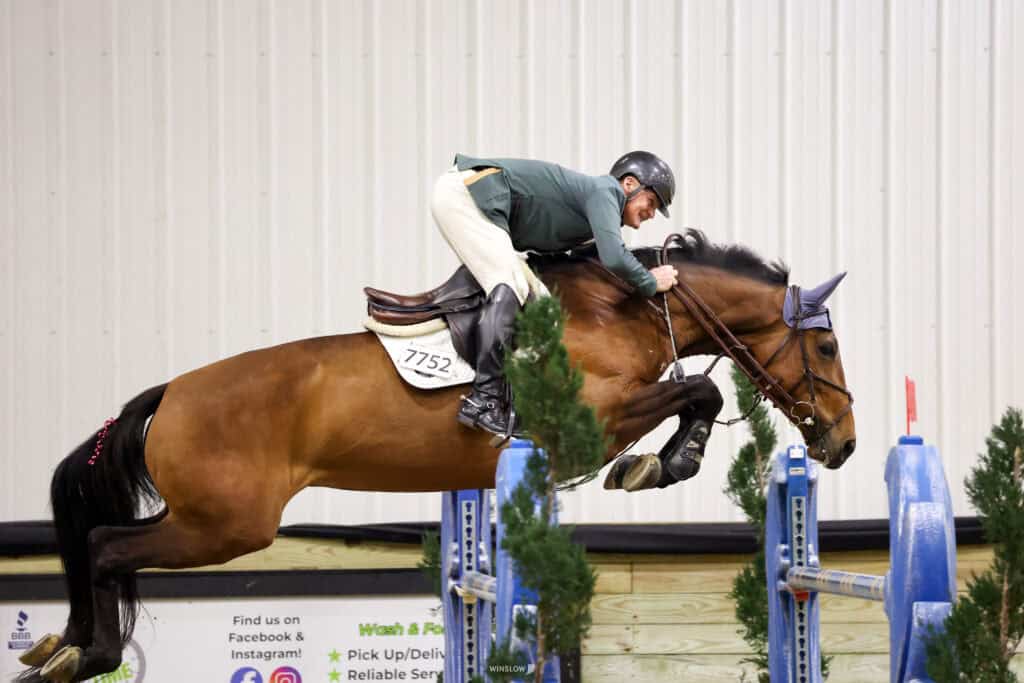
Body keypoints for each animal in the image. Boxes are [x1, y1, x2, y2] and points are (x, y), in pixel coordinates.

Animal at [18, 230, 855, 682]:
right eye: (825, 348)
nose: (843, 441)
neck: (623, 309)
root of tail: (168, 394)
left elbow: (693, 392)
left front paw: (658, 462)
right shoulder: (595, 419)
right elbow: (698, 392)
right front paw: (663, 462)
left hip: (209, 520)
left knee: (102, 543)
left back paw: (61, 644)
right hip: (225, 525)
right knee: (105, 544)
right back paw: (83, 651)